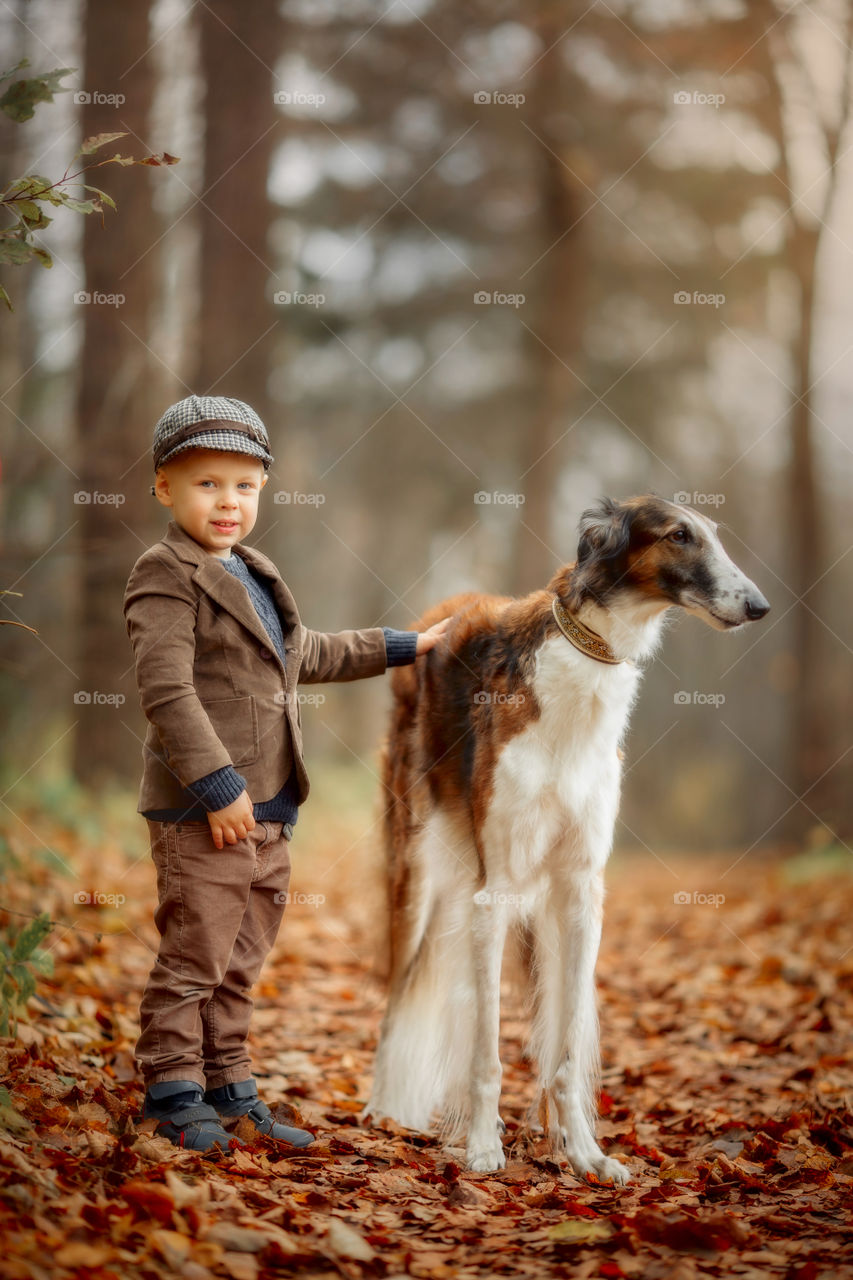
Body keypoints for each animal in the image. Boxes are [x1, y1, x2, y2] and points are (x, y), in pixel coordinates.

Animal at [361, 488, 768, 1177]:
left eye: (714, 533)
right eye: (679, 535)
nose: (759, 605)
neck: (582, 664)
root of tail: (443, 606)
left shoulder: (579, 890)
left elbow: (566, 1047)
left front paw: (583, 1153)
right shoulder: (497, 886)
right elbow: (488, 1052)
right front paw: (483, 1147)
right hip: (415, 874)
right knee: (398, 998)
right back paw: (385, 1111)